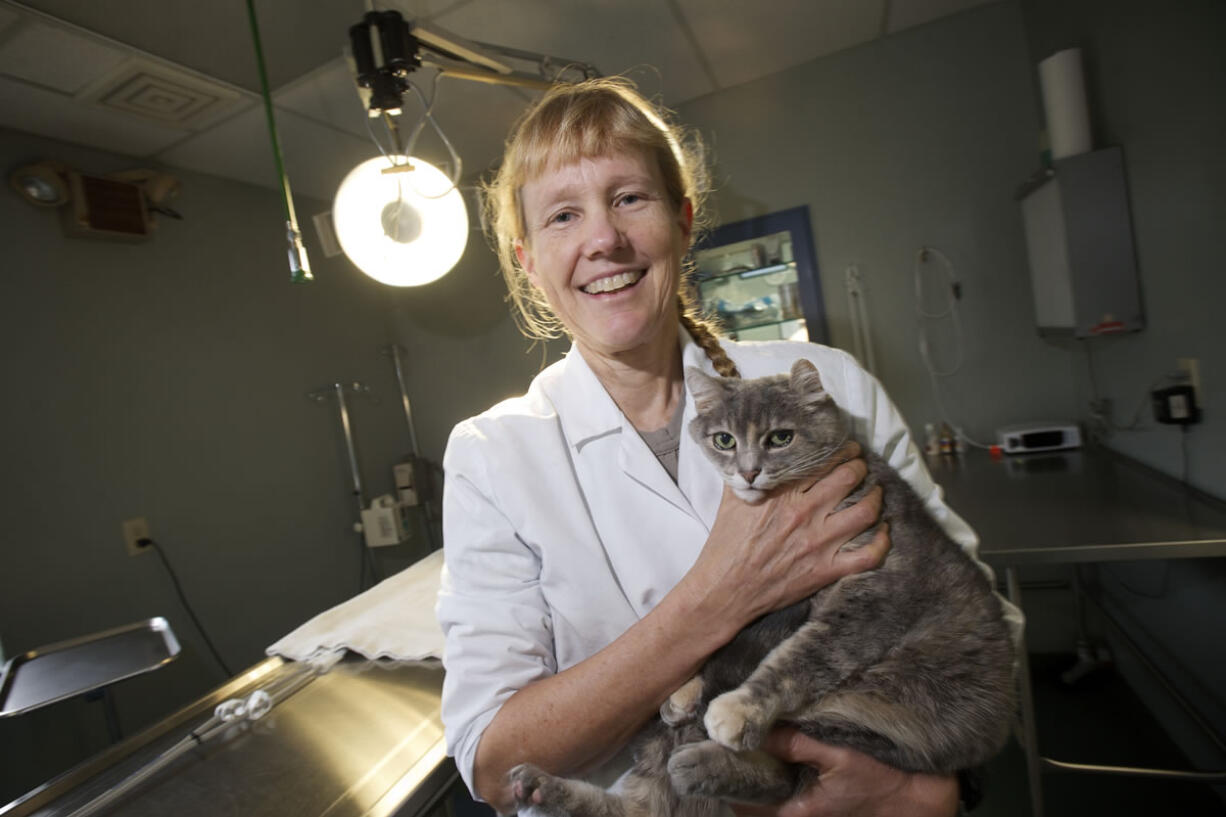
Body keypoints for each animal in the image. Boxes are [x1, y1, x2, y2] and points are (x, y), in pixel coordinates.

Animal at [507, 355, 1015, 814]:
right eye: (724, 439)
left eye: (780, 438)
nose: (748, 472)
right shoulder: (772, 600)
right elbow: (726, 633)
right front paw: (683, 689)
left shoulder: (871, 595)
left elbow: (799, 657)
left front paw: (737, 709)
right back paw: (540, 785)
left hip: (861, 723)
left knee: (783, 776)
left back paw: (702, 763)